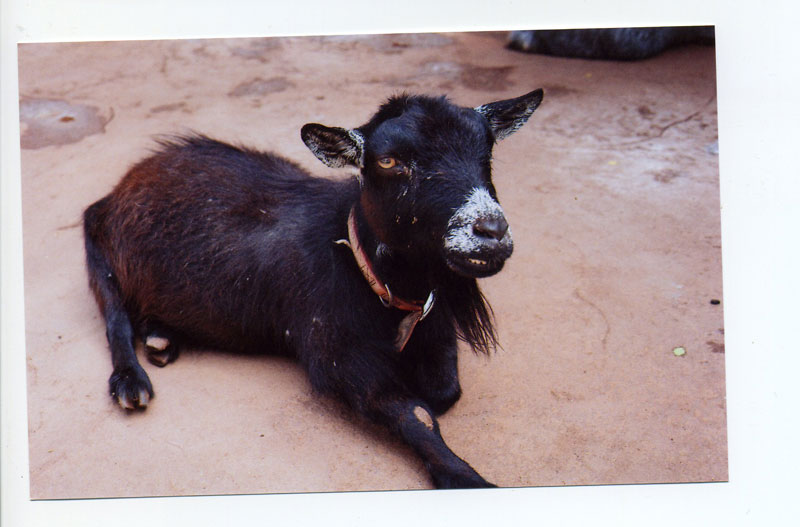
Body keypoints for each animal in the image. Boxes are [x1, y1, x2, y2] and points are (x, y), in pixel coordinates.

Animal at [83, 89, 543, 489]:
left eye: (487, 153)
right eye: (389, 161)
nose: (490, 232)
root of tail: (128, 178)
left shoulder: (436, 328)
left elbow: (444, 391)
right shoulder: (337, 354)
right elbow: (416, 412)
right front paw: (467, 478)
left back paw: (160, 336)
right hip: (101, 252)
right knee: (115, 316)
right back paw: (131, 381)